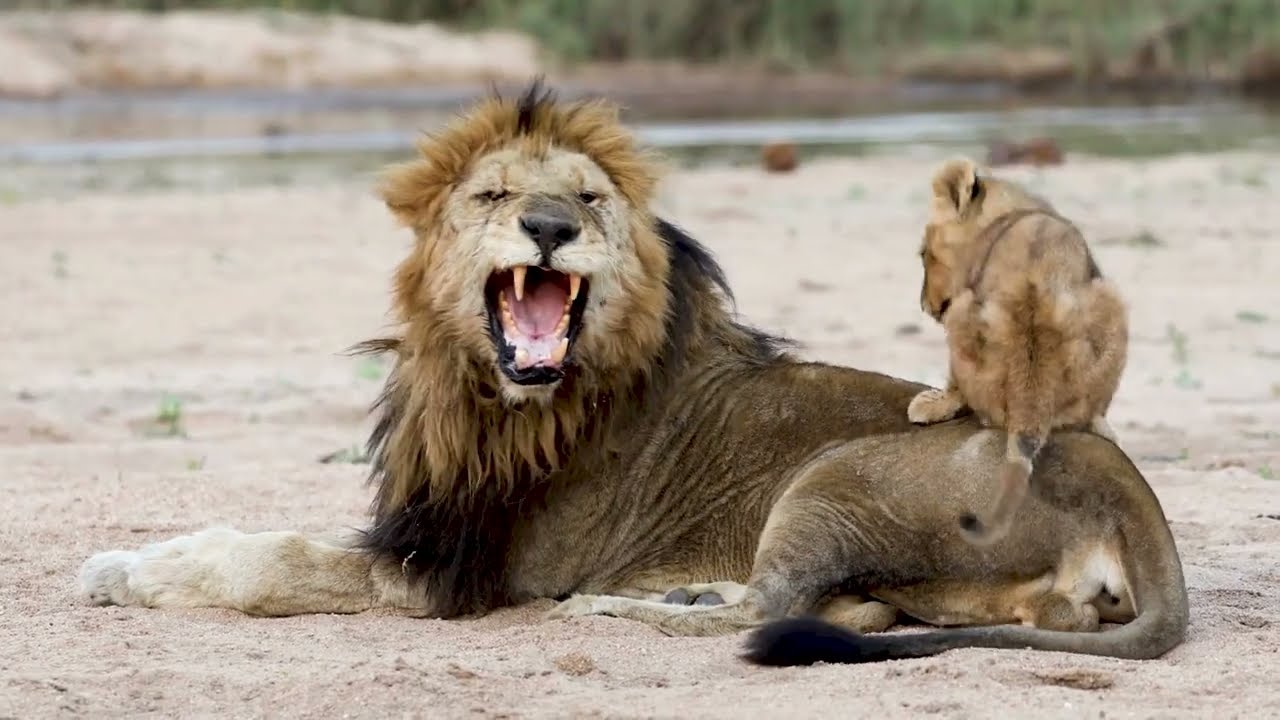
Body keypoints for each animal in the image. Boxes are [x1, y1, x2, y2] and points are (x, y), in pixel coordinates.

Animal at [906, 157, 1130, 547]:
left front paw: (933, 404)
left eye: (924, 254)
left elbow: (952, 383)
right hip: (1110, 300)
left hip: (964, 312)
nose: (923, 306)